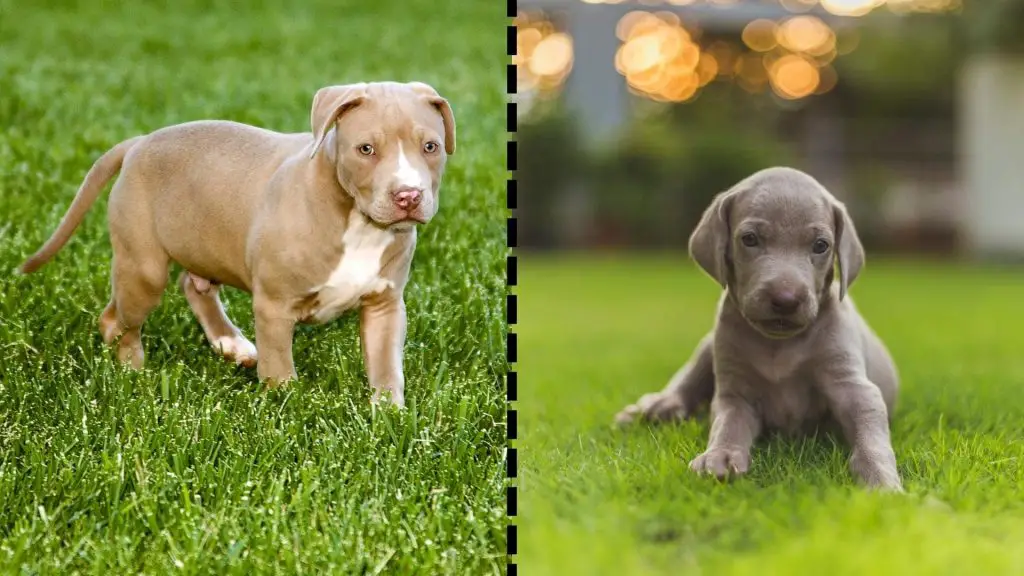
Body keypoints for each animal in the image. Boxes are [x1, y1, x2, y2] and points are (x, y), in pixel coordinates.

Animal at [14, 80, 456, 405]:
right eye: (366, 149)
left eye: (430, 147)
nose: (408, 196)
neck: (358, 222)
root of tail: (140, 141)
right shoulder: (275, 305)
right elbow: (279, 367)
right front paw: (287, 407)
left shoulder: (385, 304)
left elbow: (386, 367)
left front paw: (389, 417)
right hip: (142, 267)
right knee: (118, 319)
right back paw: (133, 373)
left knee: (193, 284)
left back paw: (230, 343)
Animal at [610, 165, 901, 487]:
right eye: (749, 239)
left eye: (821, 246)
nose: (786, 300)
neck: (779, 344)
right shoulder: (735, 394)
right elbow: (728, 425)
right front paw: (720, 455)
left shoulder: (852, 385)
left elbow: (870, 437)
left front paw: (882, 480)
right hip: (710, 344)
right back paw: (655, 407)